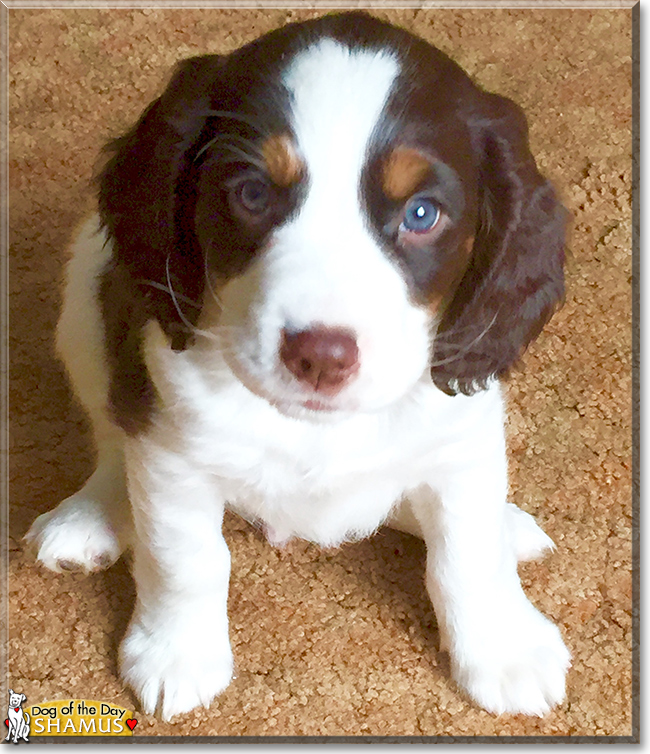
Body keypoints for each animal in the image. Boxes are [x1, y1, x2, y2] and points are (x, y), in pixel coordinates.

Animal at [26, 10, 568, 716]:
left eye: (422, 214)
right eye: (253, 194)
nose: (321, 356)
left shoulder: (462, 441)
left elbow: (467, 554)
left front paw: (504, 649)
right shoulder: (174, 451)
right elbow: (187, 558)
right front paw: (176, 654)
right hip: (85, 294)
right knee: (112, 433)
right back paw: (90, 515)